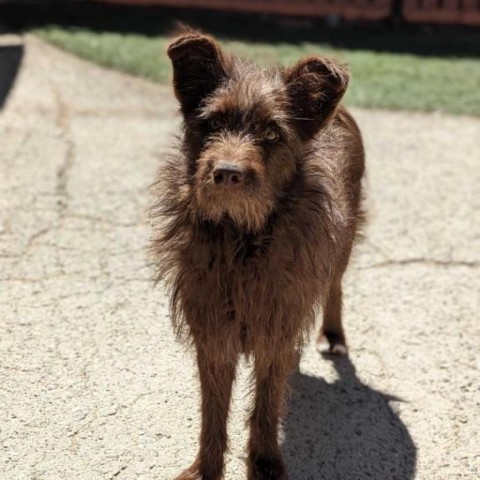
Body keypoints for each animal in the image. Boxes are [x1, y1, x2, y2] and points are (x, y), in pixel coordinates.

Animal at [152, 29, 366, 480]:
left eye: (271, 134)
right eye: (213, 123)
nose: (228, 173)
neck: (242, 240)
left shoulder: (275, 329)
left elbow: (267, 402)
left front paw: (265, 463)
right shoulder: (213, 331)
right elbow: (213, 409)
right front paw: (206, 467)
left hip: (343, 247)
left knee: (334, 288)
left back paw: (333, 336)